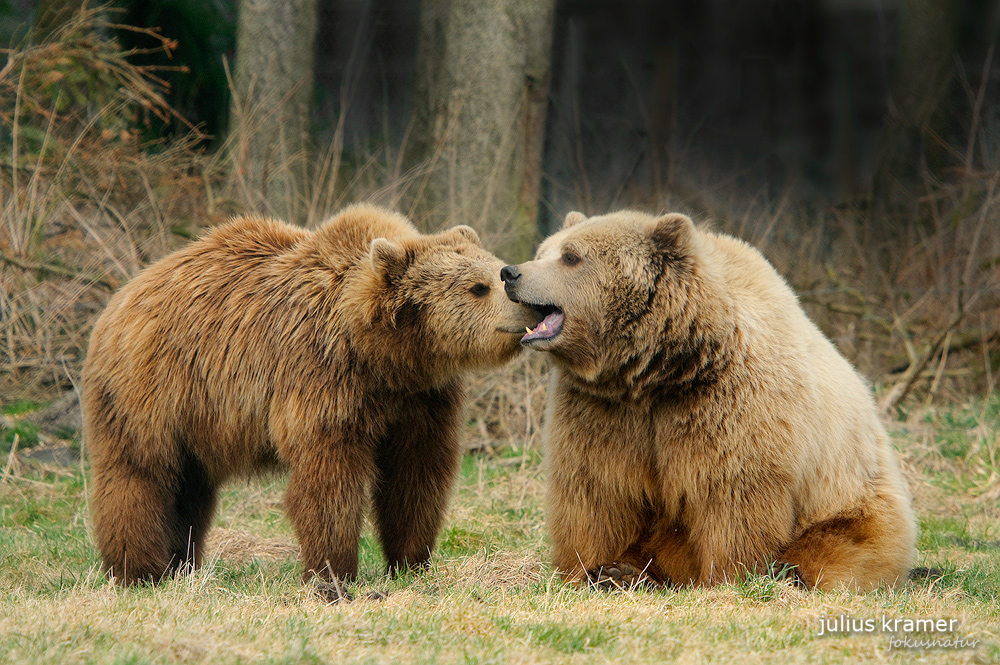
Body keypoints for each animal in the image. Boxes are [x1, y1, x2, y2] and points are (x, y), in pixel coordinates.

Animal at [83, 200, 544, 592]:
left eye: (498, 271)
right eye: (478, 287)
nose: (529, 303)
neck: (386, 354)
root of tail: (123, 294)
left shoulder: (421, 400)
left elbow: (416, 476)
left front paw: (411, 564)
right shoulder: (323, 374)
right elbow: (330, 477)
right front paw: (333, 575)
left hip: (197, 417)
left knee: (190, 488)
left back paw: (182, 563)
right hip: (153, 388)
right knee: (140, 473)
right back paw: (138, 570)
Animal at [504, 210, 916, 588]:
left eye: (571, 256)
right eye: (543, 250)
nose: (510, 272)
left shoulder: (730, 402)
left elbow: (732, 492)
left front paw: (730, 576)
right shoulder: (601, 409)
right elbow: (597, 490)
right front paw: (592, 569)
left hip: (855, 495)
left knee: (840, 545)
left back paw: (791, 572)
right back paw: (630, 571)